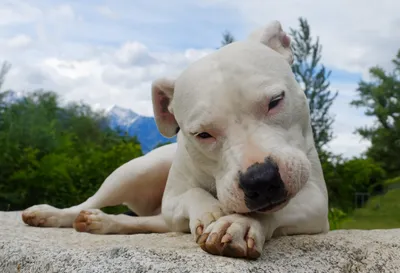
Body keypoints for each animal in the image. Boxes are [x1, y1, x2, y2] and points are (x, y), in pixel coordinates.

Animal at [21, 20, 328, 260]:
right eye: (202, 134)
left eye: (275, 101)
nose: (261, 179)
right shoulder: (172, 199)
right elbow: (192, 194)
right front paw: (213, 211)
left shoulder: (316, 202)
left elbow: (271, 210)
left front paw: (237, 223)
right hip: (135, 171)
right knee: (90, 201)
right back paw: (51, 215)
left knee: (151, 222)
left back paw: (104, 222)